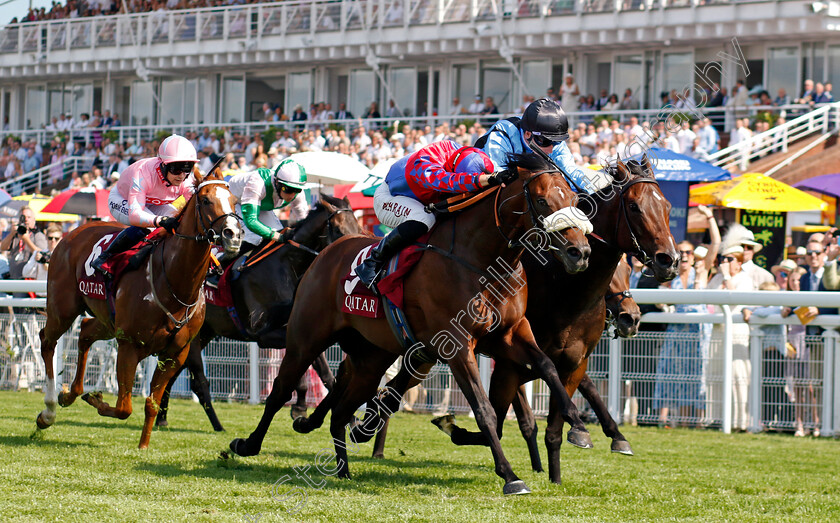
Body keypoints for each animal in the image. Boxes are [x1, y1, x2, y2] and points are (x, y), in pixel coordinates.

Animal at [37, 162, 241, 448]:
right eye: (205, 200)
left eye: (234, 201)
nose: (233, 235)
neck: (175, 282)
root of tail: (71, 234)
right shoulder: (129, 344)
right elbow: (124, 407)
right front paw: (96, 399)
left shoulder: (175, 353)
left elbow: (151, 404)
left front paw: (143, 446)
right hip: (63, 308)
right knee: (47, 340)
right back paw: (48, 411)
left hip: (107, 321)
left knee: (86, 331)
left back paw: (70, 394)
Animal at [155, 196, 364, 430]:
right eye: (337, 229)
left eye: (358, 228)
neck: (289, 266)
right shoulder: (264, 334)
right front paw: (301, 407)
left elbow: (325, 374)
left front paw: (346, 417)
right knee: (195, 381)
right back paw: (216, 425)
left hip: (203, 334)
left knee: (170, 374)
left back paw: (162, 418)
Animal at [230, 154, 592, 498]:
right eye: (542, 201)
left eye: (575, 197)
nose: (580, 252)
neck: (481, 259)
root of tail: (323, 255)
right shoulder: (458, 344)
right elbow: (484, 409)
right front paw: (511, 476)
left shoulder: (510, 333)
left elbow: (546, 365)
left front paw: (578, 425)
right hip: (305, 338)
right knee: (280, 390)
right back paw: (247, 444)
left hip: (370, 358)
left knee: (342, 409)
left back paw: (343, 467)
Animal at [346, 158, 676, 486]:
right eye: (634, 206)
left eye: (668, 207)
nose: (669, 260)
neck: (565, 290)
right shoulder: (508, 364)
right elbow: (509, 419)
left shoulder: (573, 360)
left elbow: (554, 422)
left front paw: (567, 461)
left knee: (396, 386)